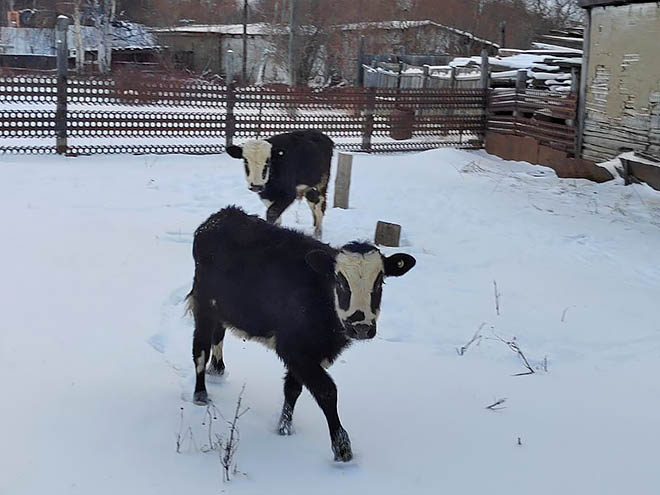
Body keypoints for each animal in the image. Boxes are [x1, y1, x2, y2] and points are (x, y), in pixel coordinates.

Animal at [186, 205, 416, 462]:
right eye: (340, 281)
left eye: (379, 282)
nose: (362, 326)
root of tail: (221, 215)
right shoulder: (294, 348)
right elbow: (327, 391)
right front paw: (342, 447)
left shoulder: (308, 352)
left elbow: (292, 389)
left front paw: (284, 428)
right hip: (204, 305)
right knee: (200, 350)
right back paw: (201, 394)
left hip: (223, 307)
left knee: (218, 335)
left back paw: (218, 369)